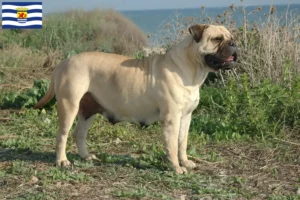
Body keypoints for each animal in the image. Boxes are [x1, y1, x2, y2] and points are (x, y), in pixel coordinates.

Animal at [34, 23, 237, 173]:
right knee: (62, 135)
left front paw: (185, 162)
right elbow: (172, 145)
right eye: (217, 39)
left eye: (231, 38)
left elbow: (182, 142)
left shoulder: (186, 117)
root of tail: (64, 62)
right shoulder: (172, 119)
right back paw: (62, 161)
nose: (234, 44)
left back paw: (86, 156)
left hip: (88, 110)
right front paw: (176, 168)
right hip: (69, 106)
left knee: (80, 133)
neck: (190, 69)